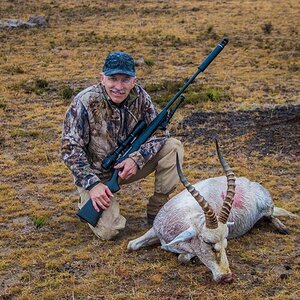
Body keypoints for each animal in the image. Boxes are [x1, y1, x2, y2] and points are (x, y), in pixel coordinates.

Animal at [127, 142, 298, 282]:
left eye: (226, 244)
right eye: (208, 243)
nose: (227, 277)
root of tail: (252, 183)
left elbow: (183, 257)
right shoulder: (155, 230)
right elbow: (131, 245)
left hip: (268, 207)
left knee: (271, 214)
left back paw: (283, 227)